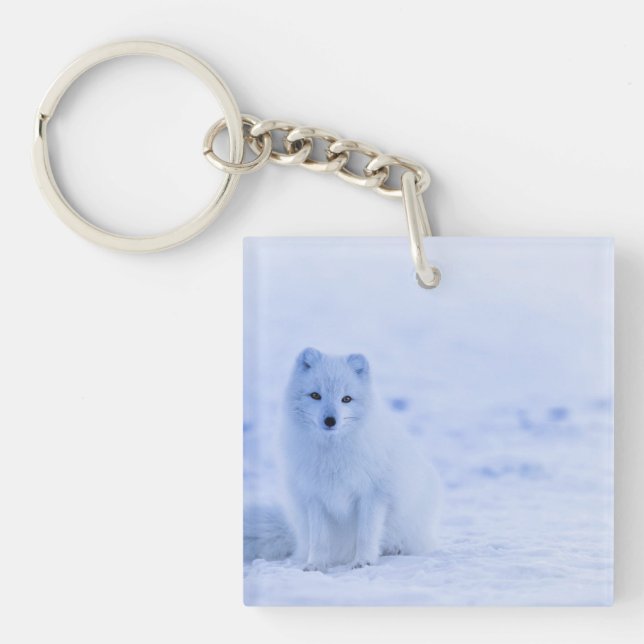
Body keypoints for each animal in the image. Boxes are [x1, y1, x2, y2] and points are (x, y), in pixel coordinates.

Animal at [244, 347, 442, 571]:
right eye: (315, 395)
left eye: (346, 399)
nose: (330, 420)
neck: (333, 455)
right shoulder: (314, 496)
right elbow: (319, 539)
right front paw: (316, 565)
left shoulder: (373, 494)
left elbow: (366, 534)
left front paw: (364, 561)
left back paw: (394, 549)